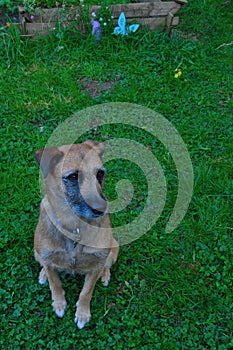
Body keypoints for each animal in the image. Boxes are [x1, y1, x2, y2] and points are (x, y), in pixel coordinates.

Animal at [33, 140, 119, 328]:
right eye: (73, 177)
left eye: (100, 173)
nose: (102, 210)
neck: (74, 227)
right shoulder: (48, 257)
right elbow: (55, 283)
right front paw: (59, 303)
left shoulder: (96, 265)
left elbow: (86, 292)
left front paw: (83, 314)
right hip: (36, 252)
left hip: (113, 249)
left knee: (107, 265)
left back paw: (105, 275)